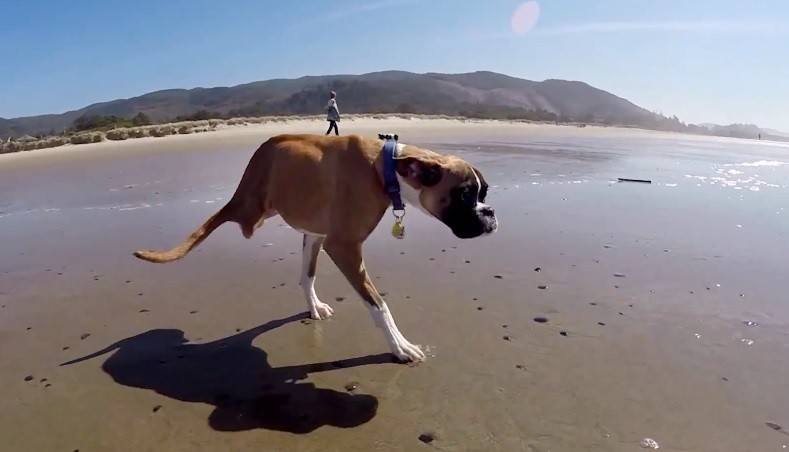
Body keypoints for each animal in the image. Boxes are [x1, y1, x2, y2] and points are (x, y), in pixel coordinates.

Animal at [132, 133, 498, 363]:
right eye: (465, 195)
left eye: (483, 193)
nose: (490, 213)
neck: (387, 168)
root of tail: (264, 146)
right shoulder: (344, 247)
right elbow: (379, 306)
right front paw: (400, 346)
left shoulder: (326, 239)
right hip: (251, 210)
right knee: (216, 219)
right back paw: (163, 252)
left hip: (310, 232)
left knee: (305, 275)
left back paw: (313, 306)